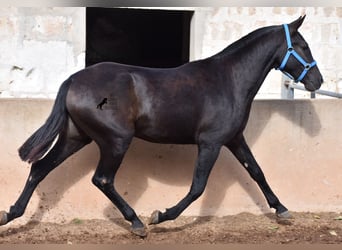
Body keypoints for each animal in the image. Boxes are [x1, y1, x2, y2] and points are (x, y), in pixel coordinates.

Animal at [0, 16, 322, 236]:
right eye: (303, 46)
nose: (317, 81)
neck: (229, 80)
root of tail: (73, 80)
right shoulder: (211, 143)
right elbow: (198, 187)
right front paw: (161, 215)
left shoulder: (234, 139)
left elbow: (256, 172)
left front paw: (282, 210)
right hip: (116, 140)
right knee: (102, 179)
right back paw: (137, 222)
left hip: (75, 137)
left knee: (39, 168)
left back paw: (10, 214)